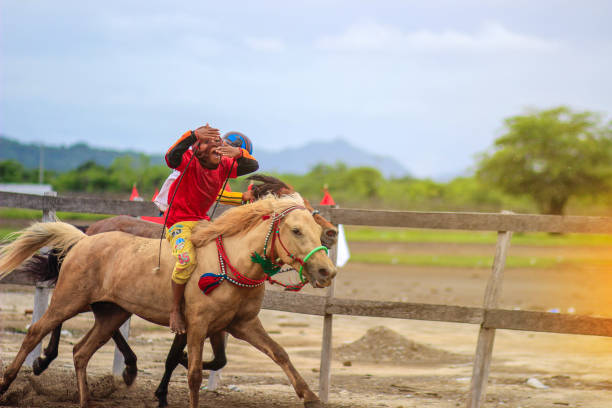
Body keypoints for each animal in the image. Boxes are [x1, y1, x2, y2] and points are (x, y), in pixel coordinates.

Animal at [0, 194, 338, 408]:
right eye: (296, 230)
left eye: (317, 230)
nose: (327, 271)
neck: (232, 262)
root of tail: (85, 239)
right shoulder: (198, 326)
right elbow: (193, 373)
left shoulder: (241, 324)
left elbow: (279, 353)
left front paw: (310, 397)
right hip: (68, 299)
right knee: (36, 332)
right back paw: (10, 381)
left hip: (112, 313)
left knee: (81, 352)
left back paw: (87, 399)